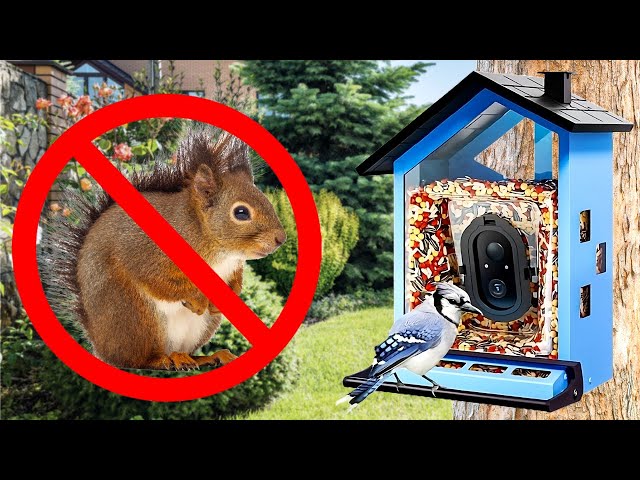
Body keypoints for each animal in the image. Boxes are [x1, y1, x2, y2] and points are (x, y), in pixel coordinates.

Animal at [40, 129, 286, 370]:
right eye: (241, 212)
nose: (281, 239)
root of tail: (100, 347)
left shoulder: (233, 266)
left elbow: (235, 281)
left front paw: (226, 297)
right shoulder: (146, 254)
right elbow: (162, 281)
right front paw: (197, 298)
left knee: (185, 351)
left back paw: (204, 357)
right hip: (135, 315)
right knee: (136, 358)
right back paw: (163, 360)